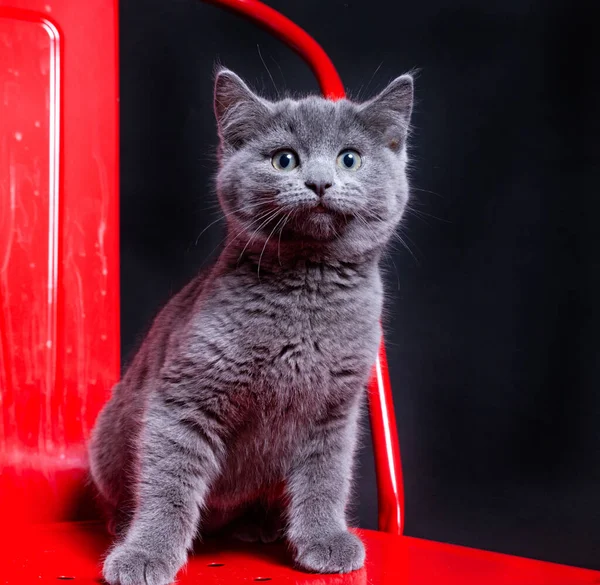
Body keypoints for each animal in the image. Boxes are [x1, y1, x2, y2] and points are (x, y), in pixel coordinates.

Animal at [89, 67, 412, 584]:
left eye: (350, 158)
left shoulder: (335, 411)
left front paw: (324, 541)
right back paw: (123, 526)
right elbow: (167, 483)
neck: (306, 292)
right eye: (284, 160)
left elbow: (326, 479)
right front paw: (144, 554)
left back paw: (261, 526)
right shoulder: (183, 398)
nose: (320, 182)